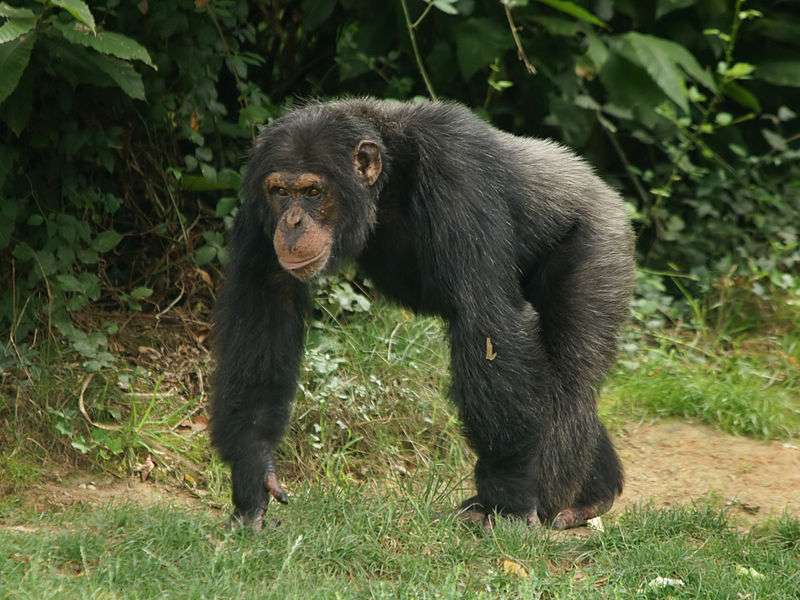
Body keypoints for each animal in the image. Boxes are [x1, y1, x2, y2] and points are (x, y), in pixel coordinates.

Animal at [209, 97, 636, 528]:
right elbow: (265, 306)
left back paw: (559, 499)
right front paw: (253, 470)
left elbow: (485, 319)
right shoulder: (257, 207)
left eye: (313, 191)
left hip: (599, 246)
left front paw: (509, 497)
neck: (388, 180)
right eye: (280, 191)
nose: (293, 222)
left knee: (570, 376)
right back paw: (593, 492)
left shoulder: (459, 174)